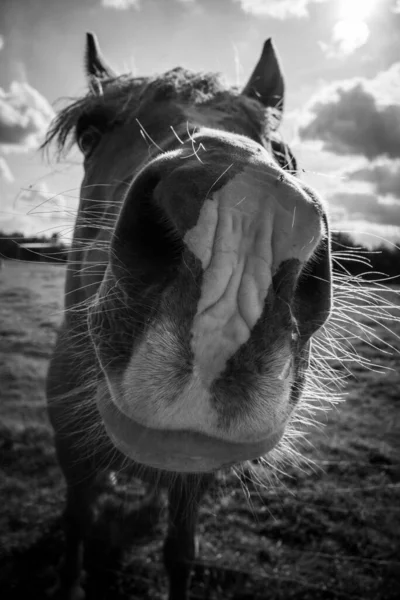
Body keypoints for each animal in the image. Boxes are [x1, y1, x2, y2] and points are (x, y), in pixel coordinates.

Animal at [43, 34, 332, 600]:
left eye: (282, 150)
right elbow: (77, 528)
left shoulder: (193, 480)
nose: (245, 213)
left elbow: (180, 554)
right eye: (90, 131)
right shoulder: (72, 459)